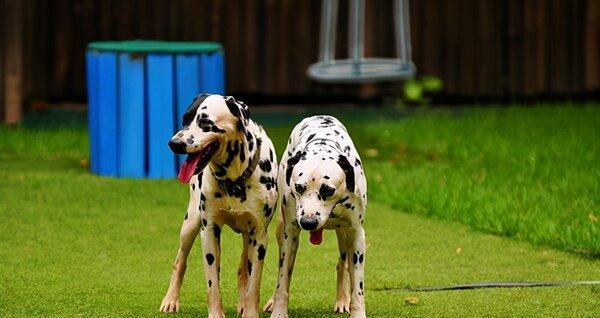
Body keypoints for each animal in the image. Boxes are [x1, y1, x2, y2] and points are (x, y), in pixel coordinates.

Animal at [161, 94, 280, 318]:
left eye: (206, 123)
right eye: (185, 119)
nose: (174, 143)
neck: (234, 180)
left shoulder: (260, 236)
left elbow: (254, 282)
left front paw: (250, 311)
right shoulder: (209, 231)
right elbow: (212, 283)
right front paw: (216, 313)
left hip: (249, 235)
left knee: (244, 268)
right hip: (190, 224)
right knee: (180, 260)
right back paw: (171, 300)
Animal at [264, 116, 368, 318]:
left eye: (328, 190)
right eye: (299, 187)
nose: (308, 222)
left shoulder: (357, 235)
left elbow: (358, 288)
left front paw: (357, 310)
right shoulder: (289, 235)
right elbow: (282, 280)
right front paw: (279, 311)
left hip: (344, 237)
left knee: (342, 265)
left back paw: (343, 300)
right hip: (281, 229)